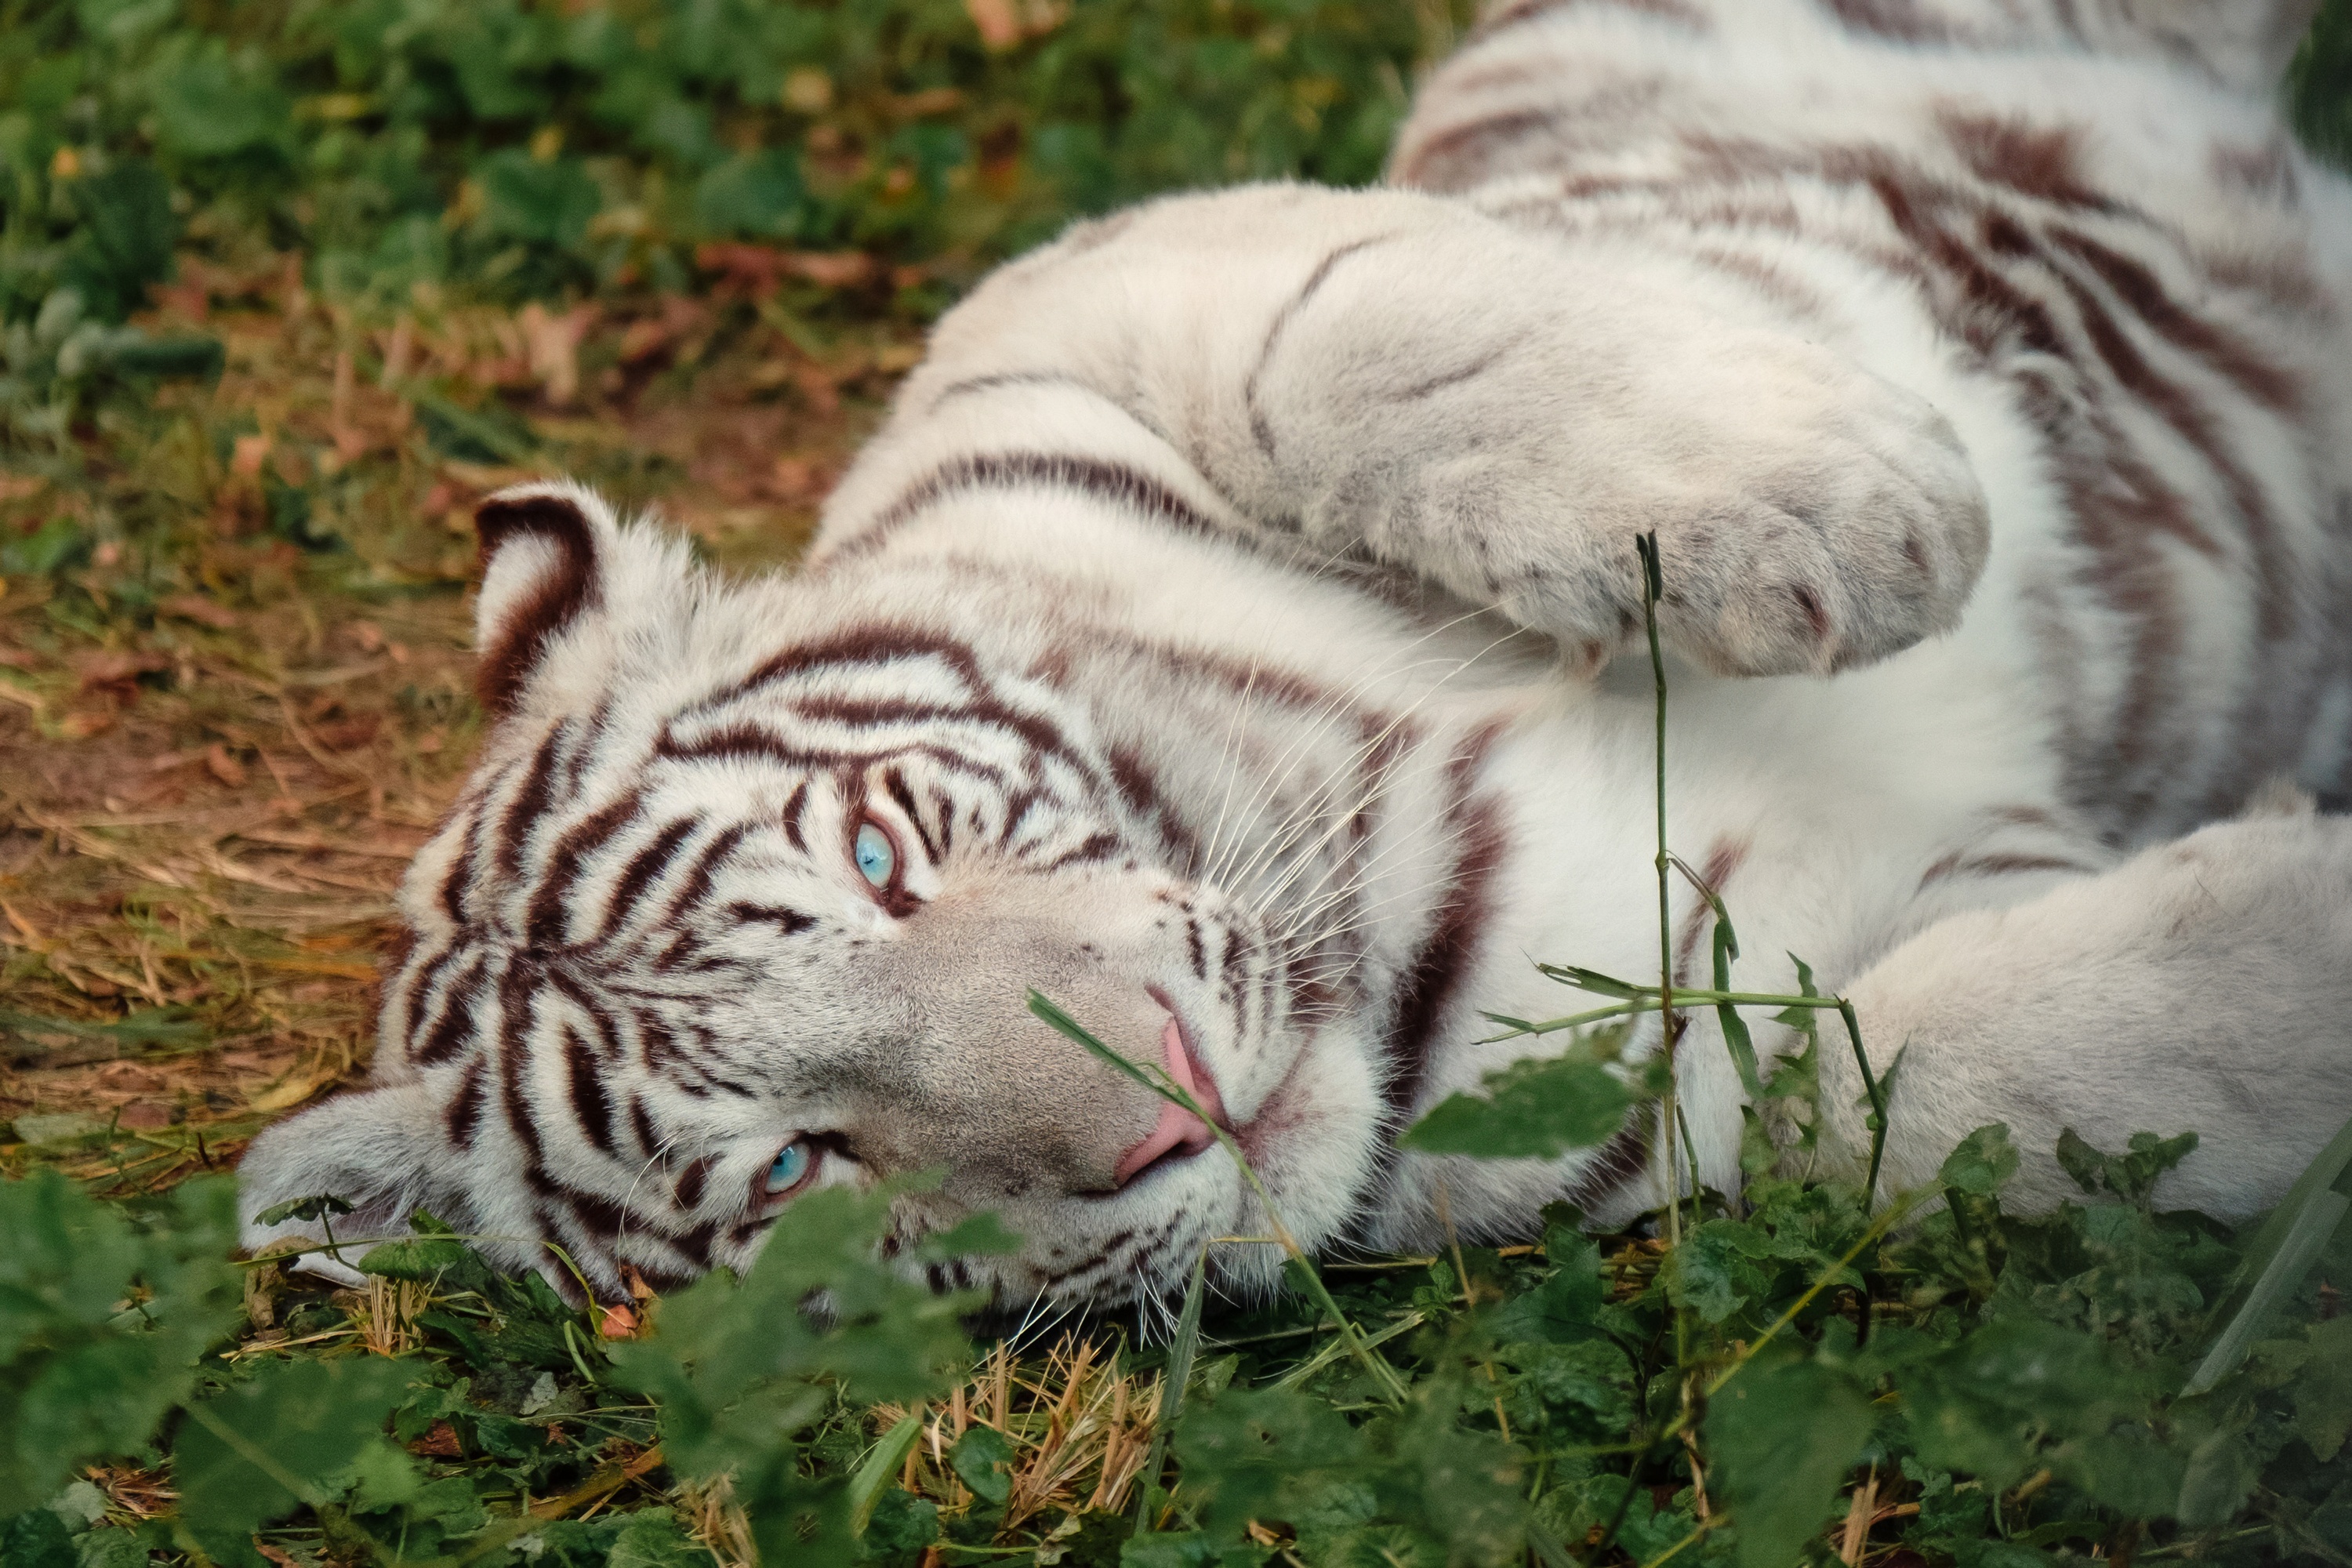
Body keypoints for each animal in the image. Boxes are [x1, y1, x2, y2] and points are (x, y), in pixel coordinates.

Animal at [240, 0, 2352, 1314]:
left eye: (878, 855)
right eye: (794, 1172)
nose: (1169, 1099)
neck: (1394, 898)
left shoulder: (1078, 298)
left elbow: (1350, 332)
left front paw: (1843, 513)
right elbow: (1903, 1073)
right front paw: (2295, 939)